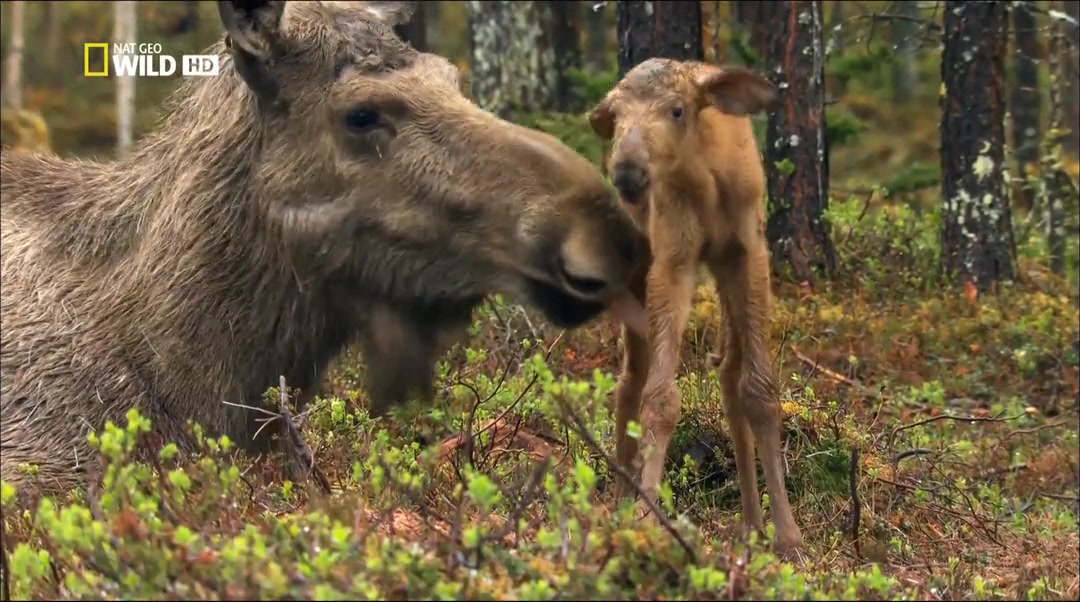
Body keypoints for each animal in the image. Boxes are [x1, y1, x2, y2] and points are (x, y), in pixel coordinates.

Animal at [591, 58, 803, 557]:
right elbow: (660, 398)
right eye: (616, 115)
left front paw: (787, 534)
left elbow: (760, 392)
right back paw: (621, 501)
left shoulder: (748, 253)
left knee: (728, 376)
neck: (706, 180)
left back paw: (752, 523)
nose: (627, 172)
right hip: (638, 273)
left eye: (677, 110)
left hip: (725, 278)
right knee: (630, 383)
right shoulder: (672, 259)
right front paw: (646, 519)